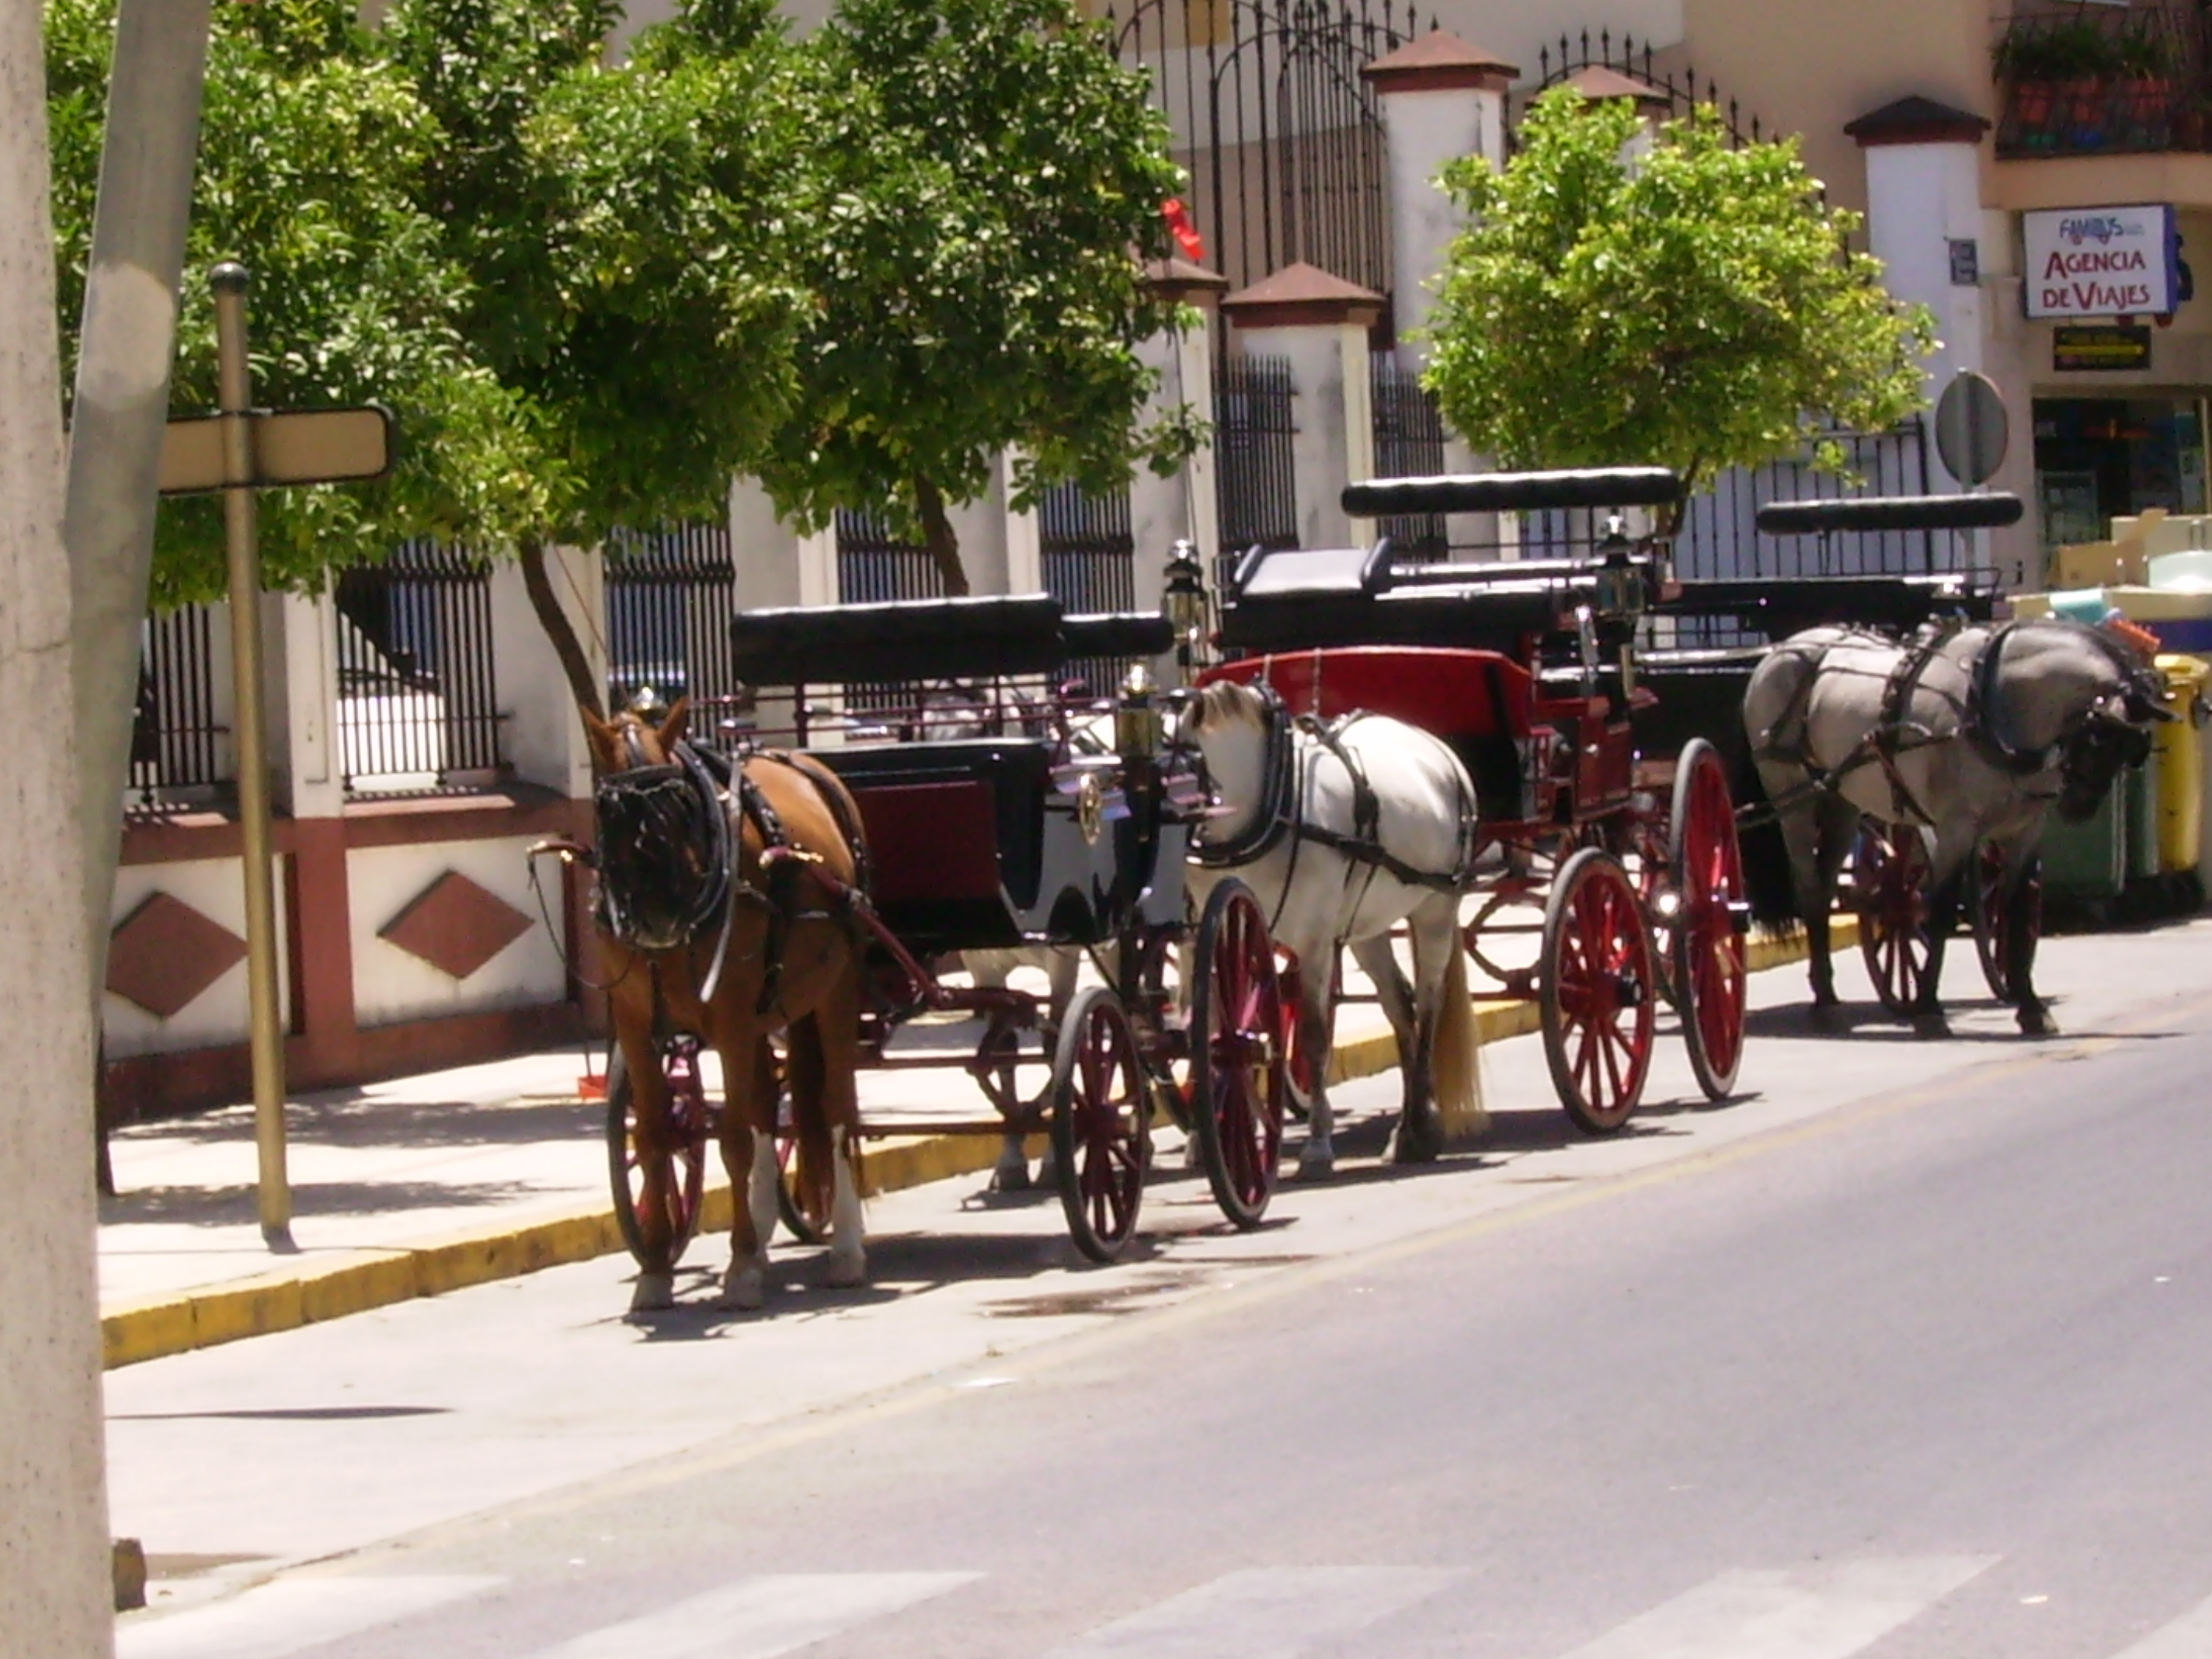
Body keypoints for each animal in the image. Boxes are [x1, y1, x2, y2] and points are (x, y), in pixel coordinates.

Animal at [583, 703, 867, 1309]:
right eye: (608, 810)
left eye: (679, 804)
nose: (659, 918)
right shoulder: (636, 1024)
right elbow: (655, 1136)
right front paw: (657, 1269)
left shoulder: (732, 1019)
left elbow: (735, 1139)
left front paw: (739, 1269)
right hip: (768, 1013)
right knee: (766, 1104)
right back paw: (761, 1234)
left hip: (834, 992)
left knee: (836, 1108)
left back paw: (847, 1248)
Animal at [1177, 676, 1486, 1185]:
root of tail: (1437, 748)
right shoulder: (1217, 934)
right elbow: (1211, 1032)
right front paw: (1206, 1140)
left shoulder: (1316, 943)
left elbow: (1315, 1038)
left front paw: (1318, 1143)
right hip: (1367, 926)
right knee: (1400, 1005)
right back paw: (1409, 1128)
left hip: (1437, 909)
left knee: (1429, 1005)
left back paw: (1421, 1130)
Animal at [1734, 619, 2168, 1035]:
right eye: (2095, 737)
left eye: (2134, 749)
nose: (2079, 806)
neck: (1991, 702)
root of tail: (1787, 648)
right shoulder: (1956, 828)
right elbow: (1939, 909)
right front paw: (1928, 1008)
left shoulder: (2025, 830)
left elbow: (2015, 912)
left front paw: (2029, 1005)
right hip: (1790, 794)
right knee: (1809, 887)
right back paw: (1824, 1001)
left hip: (1841, 799)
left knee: (1824, 888)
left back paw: (1826, 990)